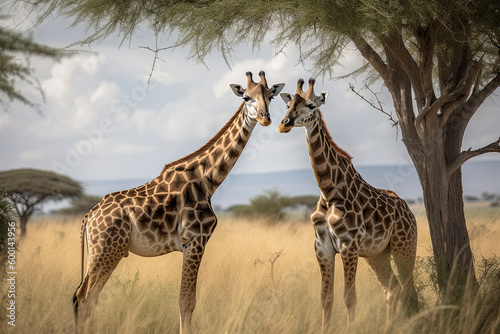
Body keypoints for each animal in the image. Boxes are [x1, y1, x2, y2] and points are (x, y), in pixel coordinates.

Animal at [73, 71, 286, 334]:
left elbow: (186, 301)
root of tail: (89, 217)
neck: (208, 180)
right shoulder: (194, 241)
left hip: (103, 252)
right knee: (85, 296)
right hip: (107, 250)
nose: (266, 119)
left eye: (270, 96)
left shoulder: (193, 244)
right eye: (246, 97)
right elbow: (186, 302)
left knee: (87, 297)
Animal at [278, 77, 418, 328]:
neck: (328, 191)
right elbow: (326, 298)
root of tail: (410, 213)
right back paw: (389, 326)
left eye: (311, 105)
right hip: (377, 254)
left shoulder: (348, 246)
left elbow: (349, 298)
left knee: (409, 289)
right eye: (288, 105)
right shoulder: (322, 248)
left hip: (404, 247)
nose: (285, 123)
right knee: (392, 289)